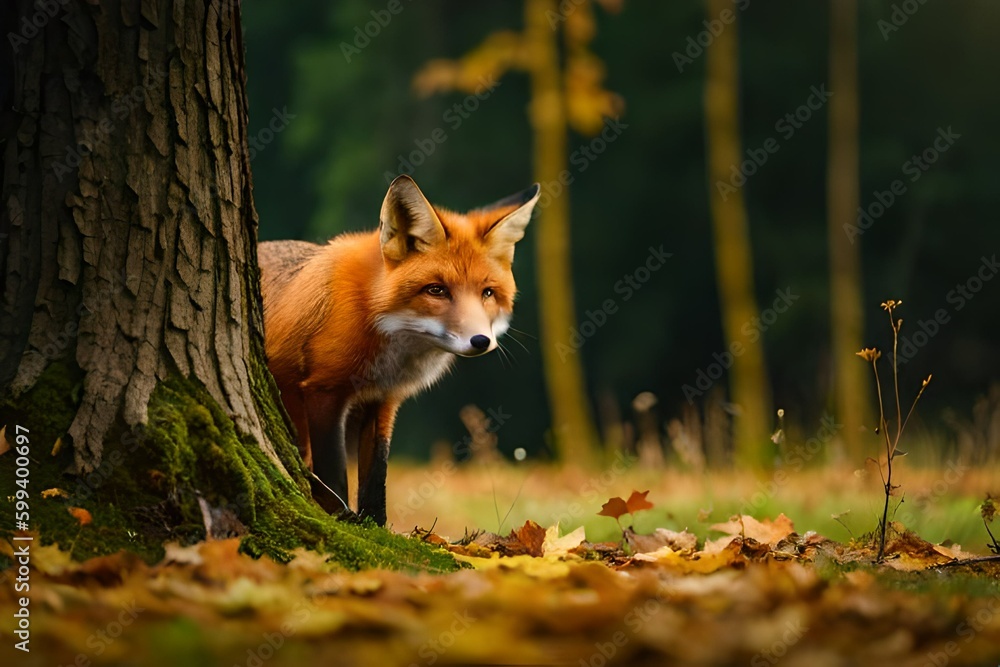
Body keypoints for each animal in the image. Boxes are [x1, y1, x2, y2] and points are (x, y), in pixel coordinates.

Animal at [259, 175, 540, 526]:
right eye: (437, 290)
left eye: (487, 293)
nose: (481, 341)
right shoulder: (323, 390)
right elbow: (334, 471)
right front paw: (341, 517)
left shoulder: (383, 400)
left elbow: (376, 477)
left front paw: (375, 525)